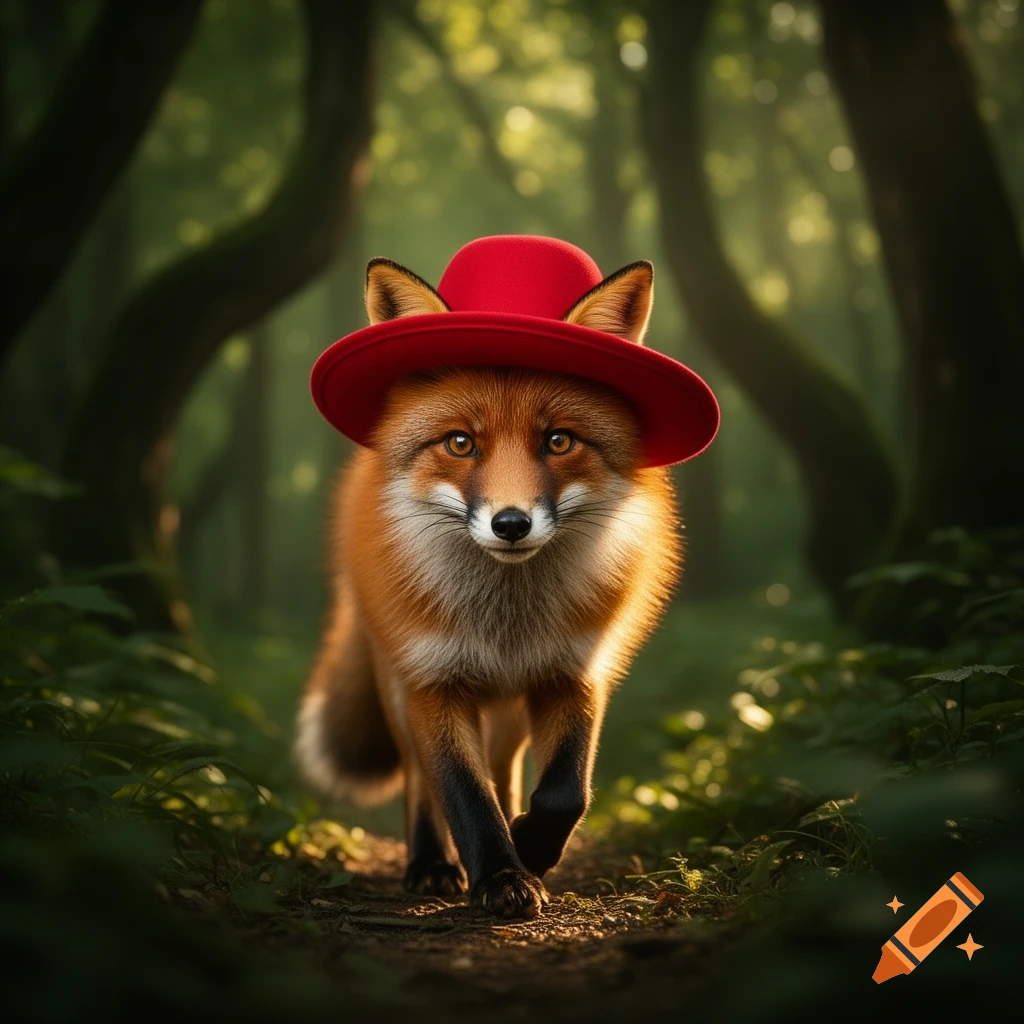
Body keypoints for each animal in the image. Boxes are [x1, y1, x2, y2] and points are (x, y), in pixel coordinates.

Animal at [295, 255, 681, 919]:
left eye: (558, 440)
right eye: (460, 442)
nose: (510, 524)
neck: (506, 622)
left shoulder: (573, 671)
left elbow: (565, 793)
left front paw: (529, 847)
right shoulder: (433, 682)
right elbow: (463, 795)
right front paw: (500, 876)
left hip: (508, 712)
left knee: (506, 773)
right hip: (399, 688)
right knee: (422, 782)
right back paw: (431, 864)